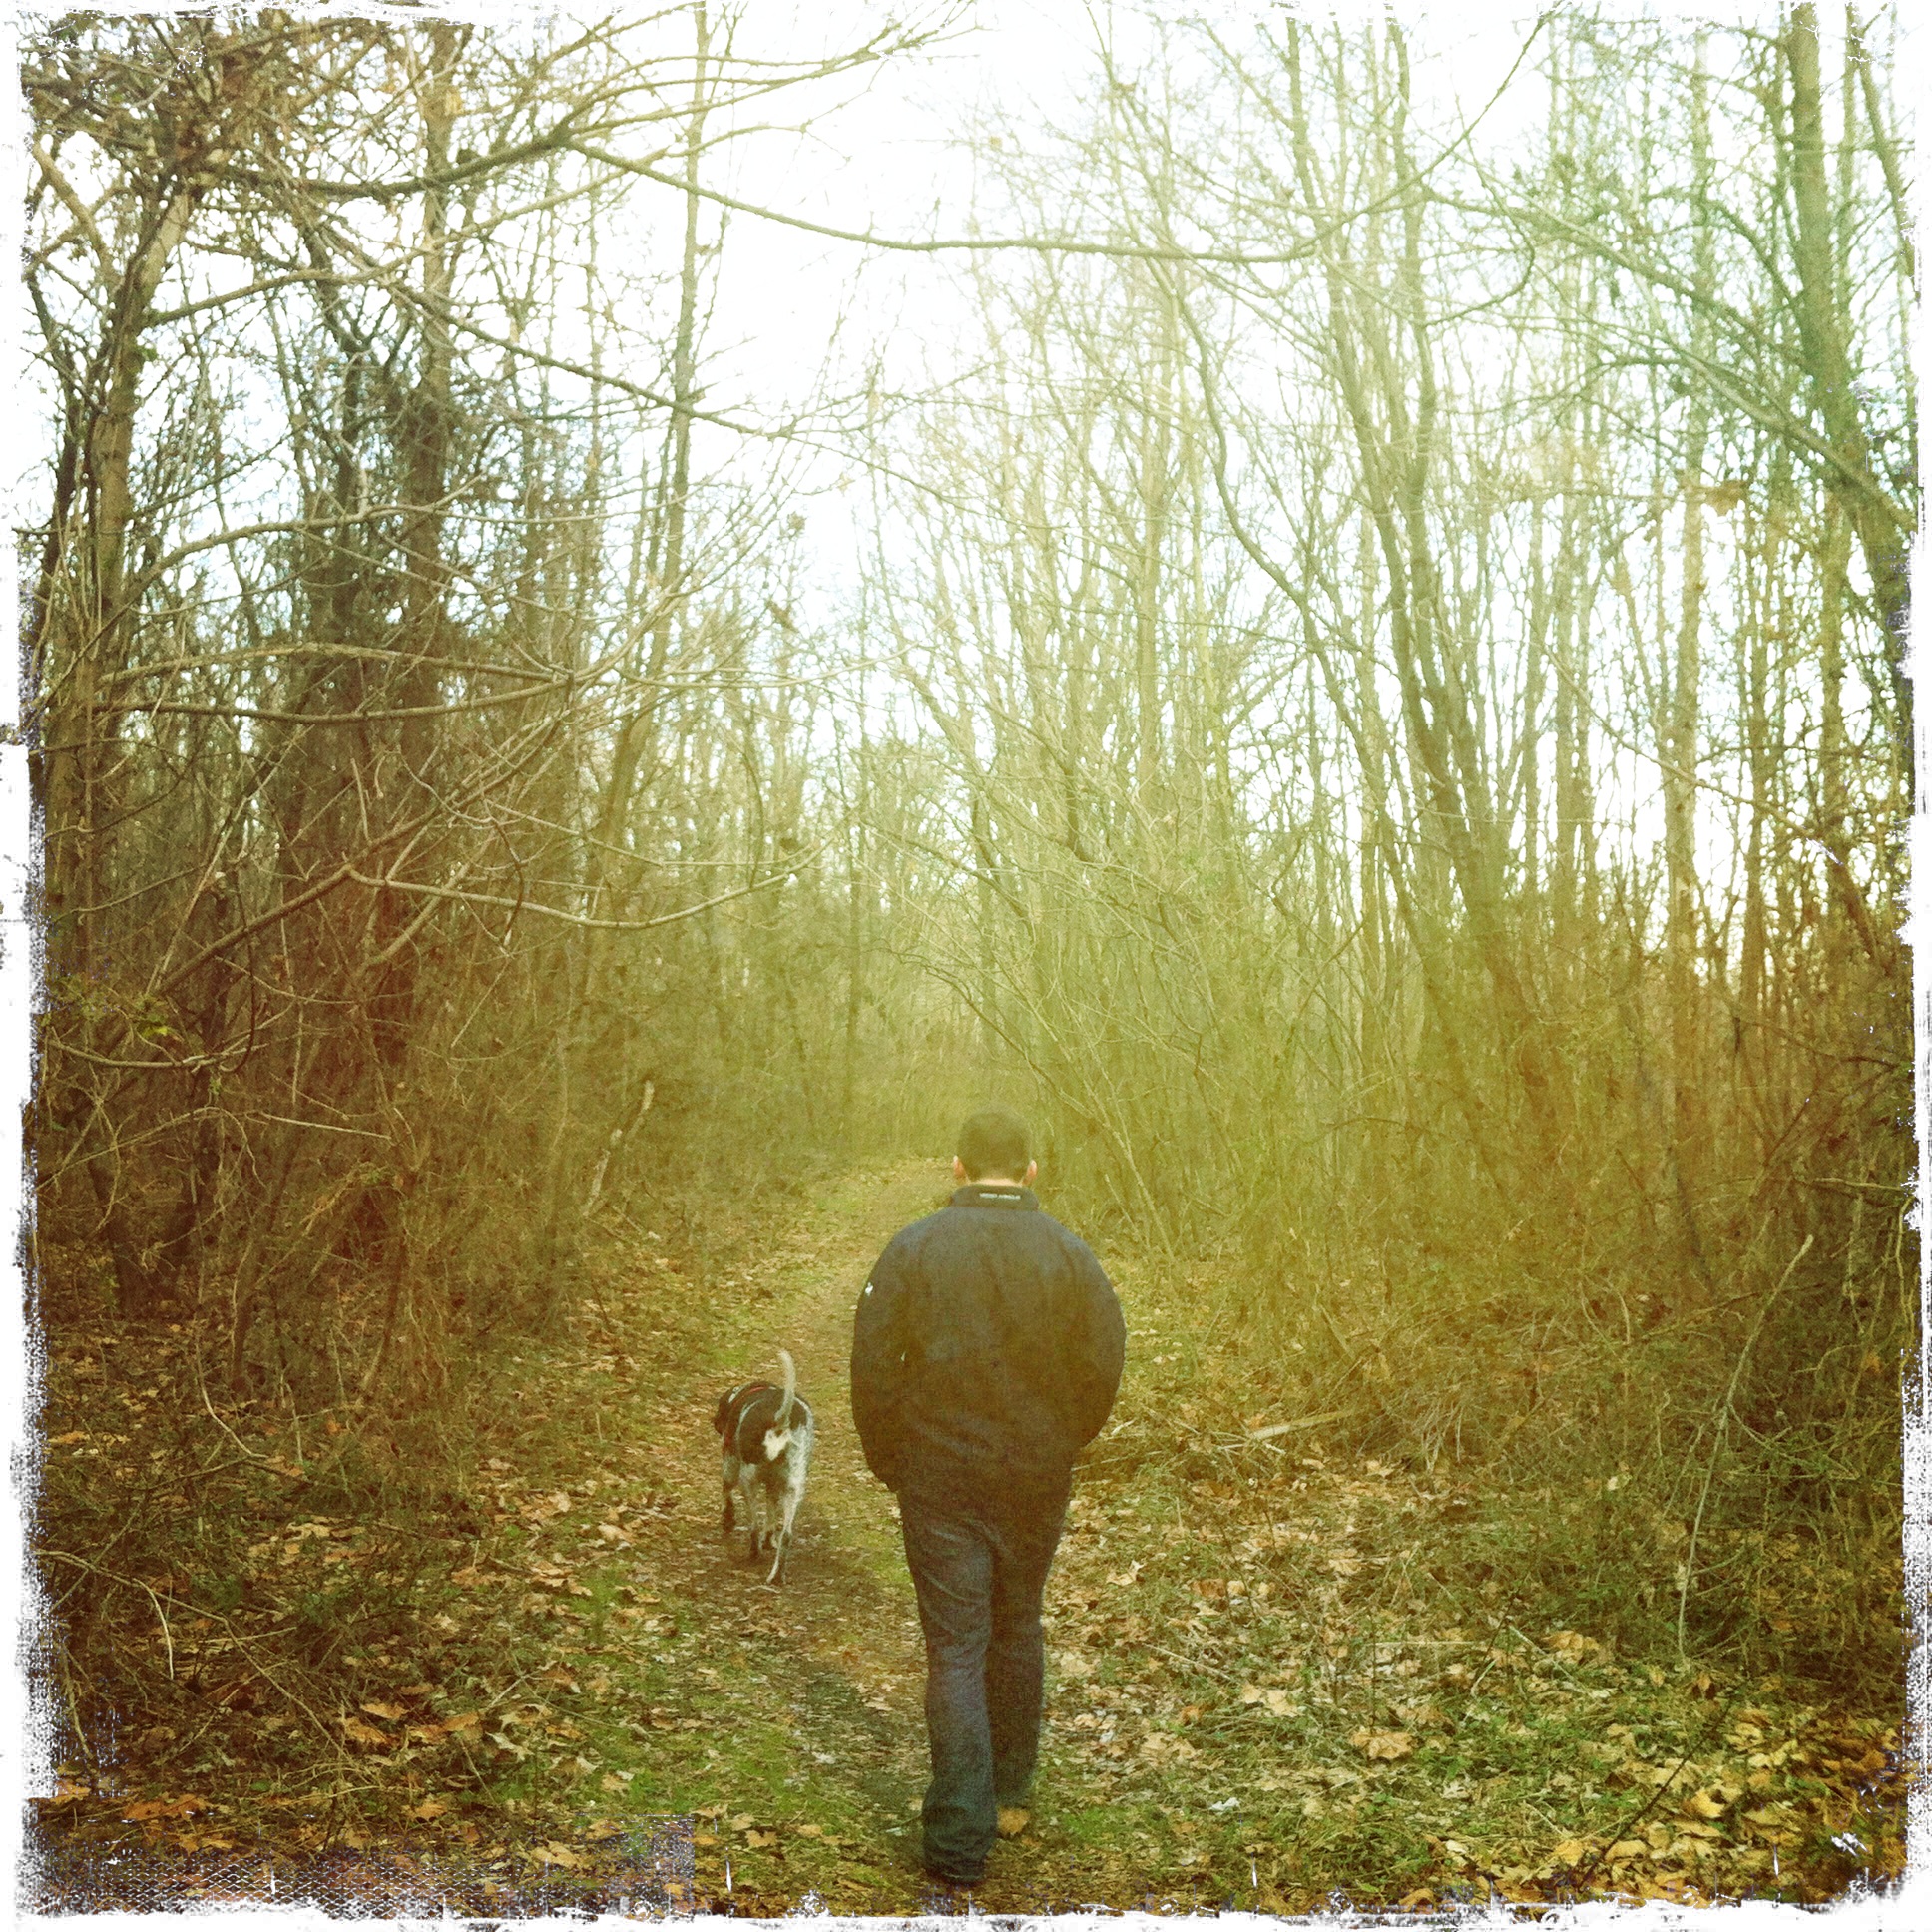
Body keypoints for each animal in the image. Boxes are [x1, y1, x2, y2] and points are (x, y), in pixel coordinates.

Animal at [713, 1349, 815, 1585]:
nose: (714, 1422)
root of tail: (779, 1422)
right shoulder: (774, 1487)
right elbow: (771, 1516)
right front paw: (770, 1540)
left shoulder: (730, 1463)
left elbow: (726, 1494)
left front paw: (728, 1519)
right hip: (793, 1489)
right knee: (786, 1535)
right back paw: (777, 1574)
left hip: (747, 1480)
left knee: (754, 1526)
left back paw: (754, 1553)